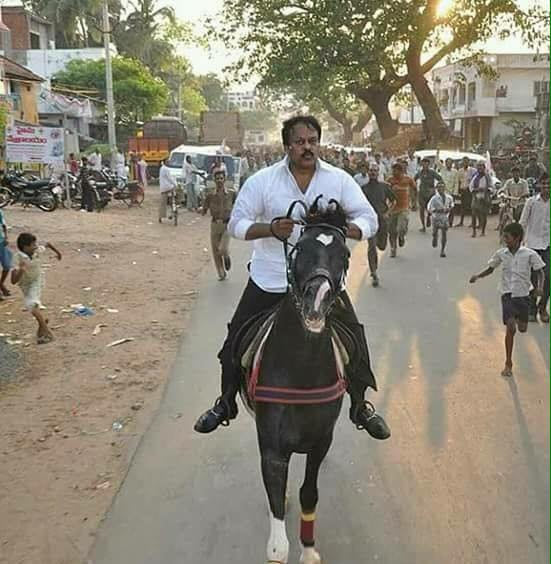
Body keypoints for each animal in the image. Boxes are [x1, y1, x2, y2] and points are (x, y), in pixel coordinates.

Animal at [242, 200, 354, 560]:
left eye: (345, 255)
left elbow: (309, 493)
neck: (301, 370)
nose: (316, 301)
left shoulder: (320, 442)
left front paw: (309, 550)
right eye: (300, 249)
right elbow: (277, 539)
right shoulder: (273, 449)